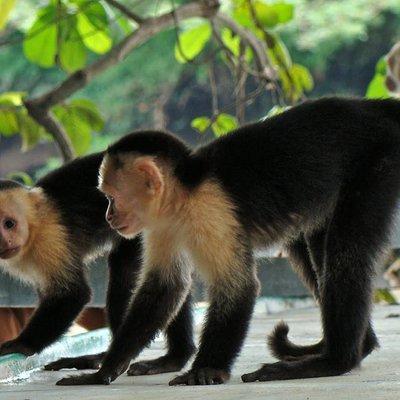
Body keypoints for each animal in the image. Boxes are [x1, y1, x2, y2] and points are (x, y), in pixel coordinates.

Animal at [0, 153, 195, 376]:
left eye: (9, 224)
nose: (5, 242)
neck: (34, 228)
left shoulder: (50, 237)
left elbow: (73, 294)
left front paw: (22, 343)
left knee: (127, 272)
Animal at [55, 95, 400, 386]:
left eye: (111, 198)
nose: (109, 217)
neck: (185, 195)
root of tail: (372, 108)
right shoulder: (161, 224)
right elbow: (165, 286)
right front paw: (103, 372)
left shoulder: (212, 210)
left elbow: (238, 287)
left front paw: (206, 369)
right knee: (316, 250)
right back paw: (357, 347)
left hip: (380, 160)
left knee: (346, 255)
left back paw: (333, 362)